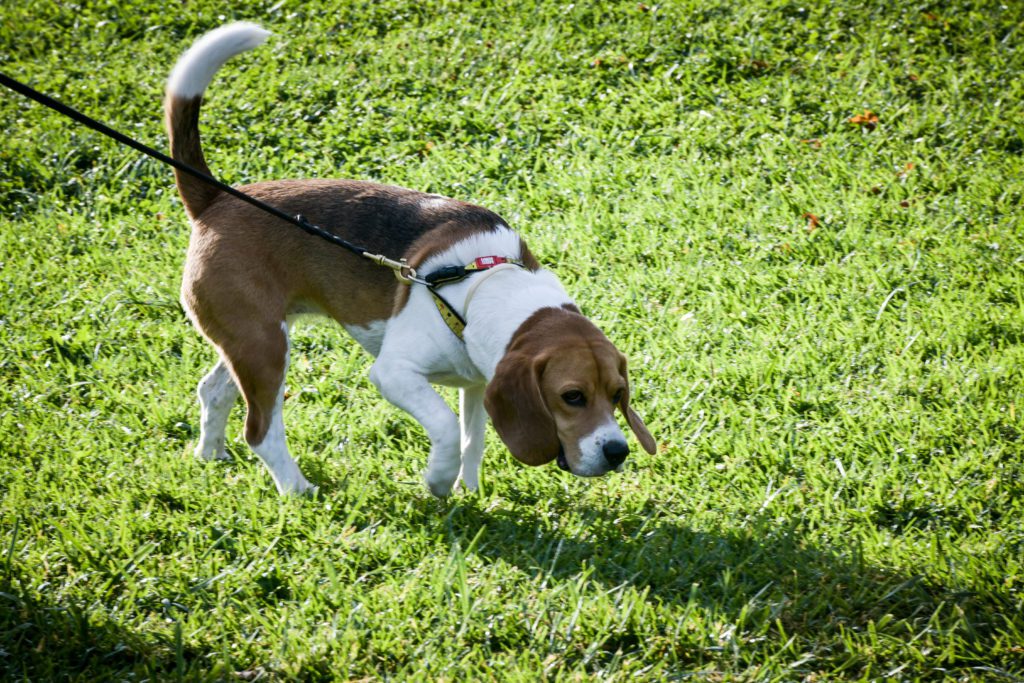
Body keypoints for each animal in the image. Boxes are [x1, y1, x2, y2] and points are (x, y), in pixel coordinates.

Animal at [163, 22, 651, 497]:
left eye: (617, 394)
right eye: (572, 396)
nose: (617, 452)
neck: (480, 286)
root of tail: (214, 199)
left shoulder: (480, 381)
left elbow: (473, 439)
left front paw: (469, 492)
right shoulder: (395, 373)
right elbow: (448, 427)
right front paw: (438, 481)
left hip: (251, 341)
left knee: (212, 391)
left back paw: (210, 454)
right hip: (265, 348)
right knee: (261, 431)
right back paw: (298, 489)